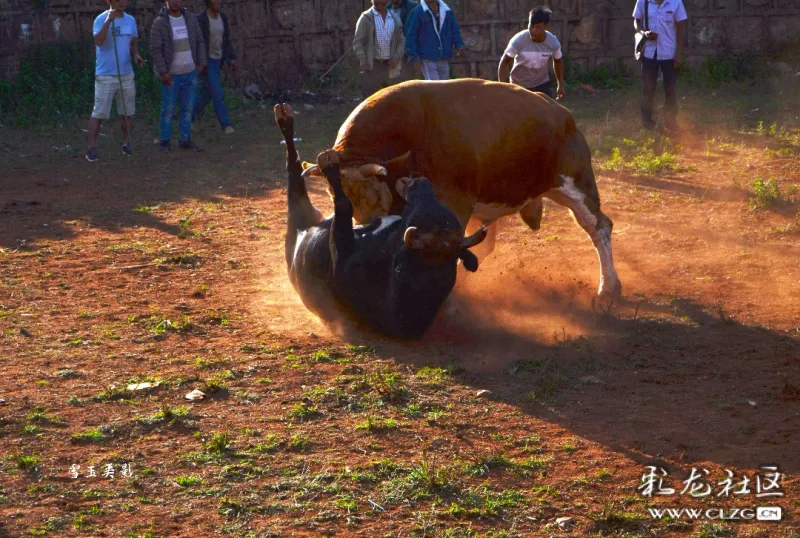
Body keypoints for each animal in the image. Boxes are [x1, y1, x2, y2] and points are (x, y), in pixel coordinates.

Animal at [274, 104, 488, 338]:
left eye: (423, 211)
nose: (420, 180)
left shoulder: (341, 247)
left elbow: (344, 205)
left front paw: (331, 168)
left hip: (298, 211)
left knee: (294, 171)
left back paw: (287, 123)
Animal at [304, 78, 620, 298]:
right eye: (338, 197)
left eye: (372, 196)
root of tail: (562, 114)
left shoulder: (454, 202)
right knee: (487, 244)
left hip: (576, 185)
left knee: (599, 227)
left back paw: (609, 288)